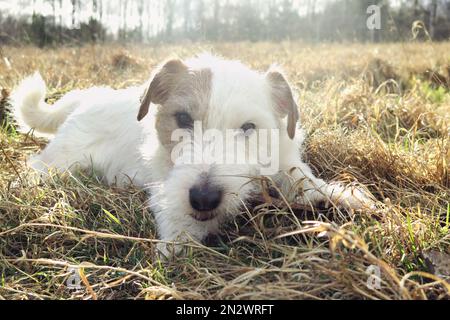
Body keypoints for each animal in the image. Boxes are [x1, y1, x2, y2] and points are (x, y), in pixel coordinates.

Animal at [10, 53, 372, 256]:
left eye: (248, 127)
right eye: (183, 119)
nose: (203, 198)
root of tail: (86, 98)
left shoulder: (283, 159)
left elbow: (301, 178)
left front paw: (338, 195)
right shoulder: (164, 178)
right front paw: (180, 236)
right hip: (63, 160)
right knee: (37, 166)